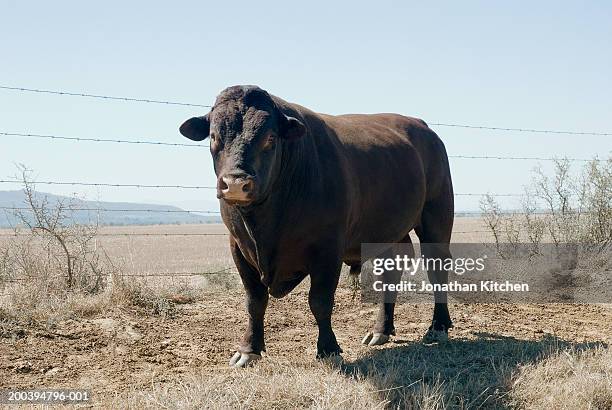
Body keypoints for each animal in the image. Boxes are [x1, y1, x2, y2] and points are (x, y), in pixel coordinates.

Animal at [179, 85, 452, 366]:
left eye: (270, 138)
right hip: (387, 233)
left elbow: (320, 301)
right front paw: (248, 349)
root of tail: (422, 126)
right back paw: (380, 330)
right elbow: (254, 301)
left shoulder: (327, 249)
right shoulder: (239, 247)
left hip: (436, 217)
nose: (235, 183)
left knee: (437, 269)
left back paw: (438, 327)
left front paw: (329, 349)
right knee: (391, 271)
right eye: (214, 137)